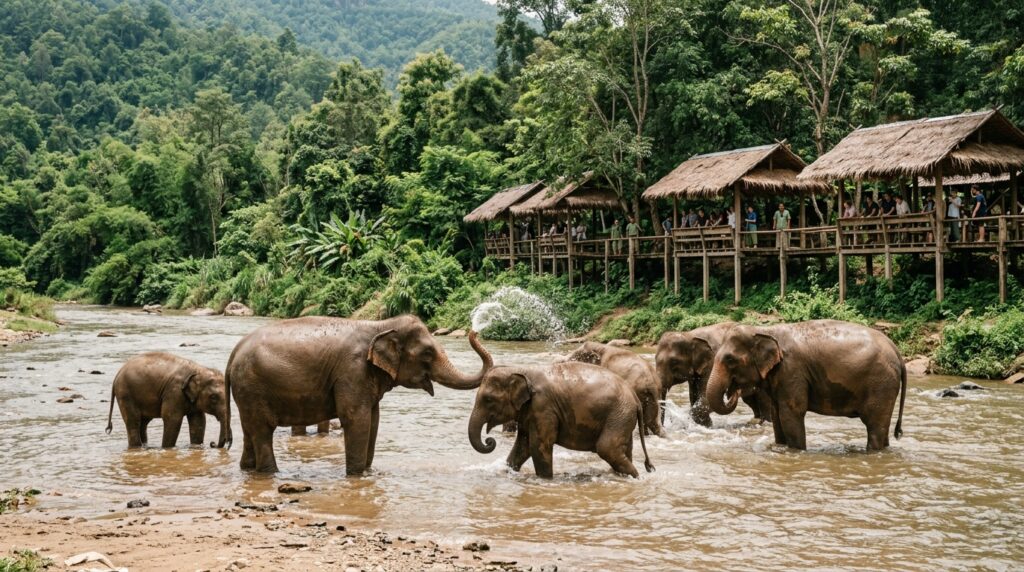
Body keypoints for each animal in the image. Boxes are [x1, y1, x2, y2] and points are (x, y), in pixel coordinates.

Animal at [226, 315, 492, 474]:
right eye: (427, 353)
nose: (475, 330)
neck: (381, 325)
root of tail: (234, 352)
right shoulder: (351, 371)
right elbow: (357, 419)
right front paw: (355, 476)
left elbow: (374, 420)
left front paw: (367, 473)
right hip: (253, 388)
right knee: (262, 431)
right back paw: (271, 473)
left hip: (247, 393)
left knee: (250, 430)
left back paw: (248, 470)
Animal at [468, 363, 655, 478]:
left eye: (488, 399)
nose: (490, 441)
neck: (523, 369)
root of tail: (635, 399)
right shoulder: (530, 411)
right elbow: (523, 446)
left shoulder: (543, 407)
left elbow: (539, 446)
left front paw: (545, 480)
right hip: (623, 417)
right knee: (623, 450)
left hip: (619, 415)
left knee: (607, 448)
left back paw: (636, 477)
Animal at [705, 320, 906, 451]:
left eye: (730, 360)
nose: (732, 391)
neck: (766, 330)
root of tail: (897, 351)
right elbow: (776, 413)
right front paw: (778, 447)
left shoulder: (792, 370)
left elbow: (791, 413)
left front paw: (796, 451)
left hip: (881, 384)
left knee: (875, 426)